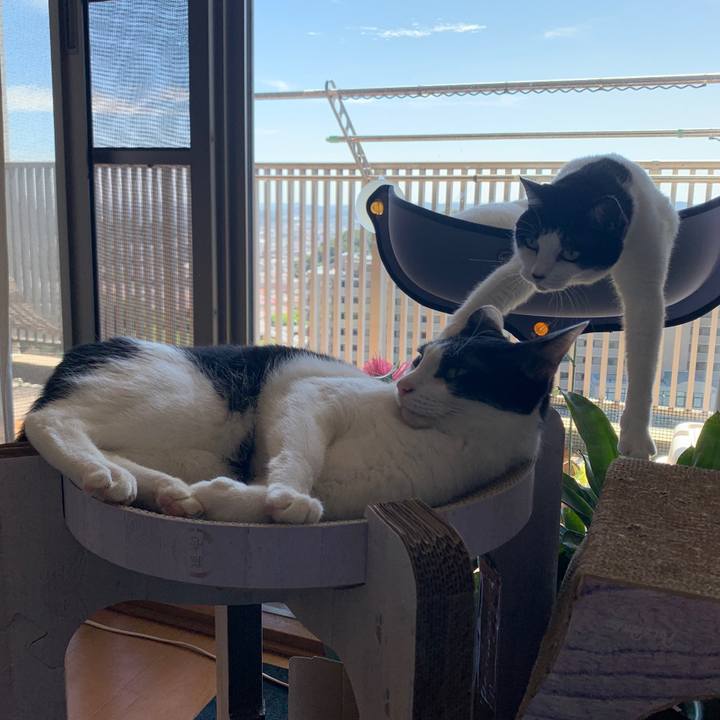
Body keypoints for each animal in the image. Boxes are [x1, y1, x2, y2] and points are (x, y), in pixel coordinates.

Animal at [21, 308, 584, 523]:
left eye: (459, 372)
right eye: (420, 359)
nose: (403, 384)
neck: (442, 438)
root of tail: (76, 355)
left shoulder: (358, 499)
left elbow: (265, 493)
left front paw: (236, 499)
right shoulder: (309, 397)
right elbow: (300, 458)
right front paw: (291, 497)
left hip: (191, 446)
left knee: (113, 448)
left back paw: (167, 491)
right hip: (187, 403)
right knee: (51, 422)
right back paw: (104, 475)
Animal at [446, 154, 679, 460]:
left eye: (569, 253)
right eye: (532, 243)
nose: (538, 275)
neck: (597, 178)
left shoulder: (645, 279)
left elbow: (642, 364)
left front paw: (636, 439)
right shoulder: (520, 266)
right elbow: (488, 294)